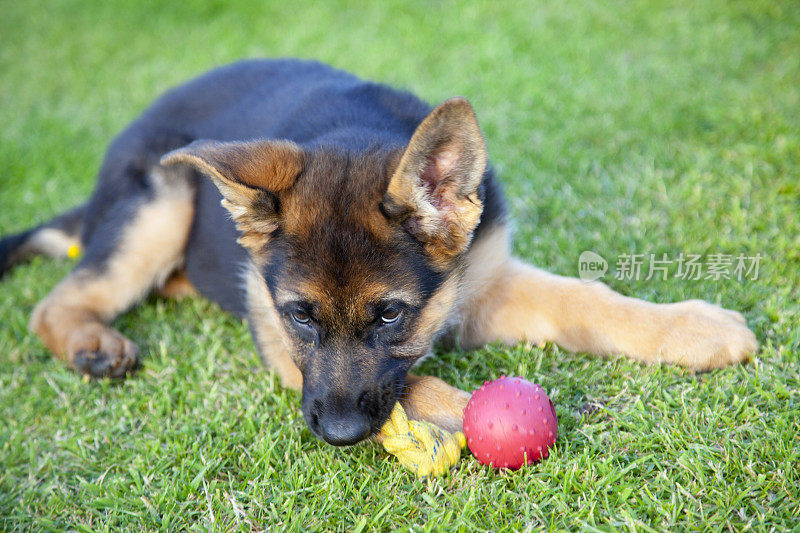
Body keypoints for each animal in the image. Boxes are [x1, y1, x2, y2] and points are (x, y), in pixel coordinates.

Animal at [1, 59, 756, 444]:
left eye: (392, 315)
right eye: (299, 316)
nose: (337, 434)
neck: (352, 130)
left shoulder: (484, 278)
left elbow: (586, 298)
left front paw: (692, 328)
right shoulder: (277, 341)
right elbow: (410, 384)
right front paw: (466, 409)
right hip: (161, 202)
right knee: (59, 298)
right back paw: (90, 343)